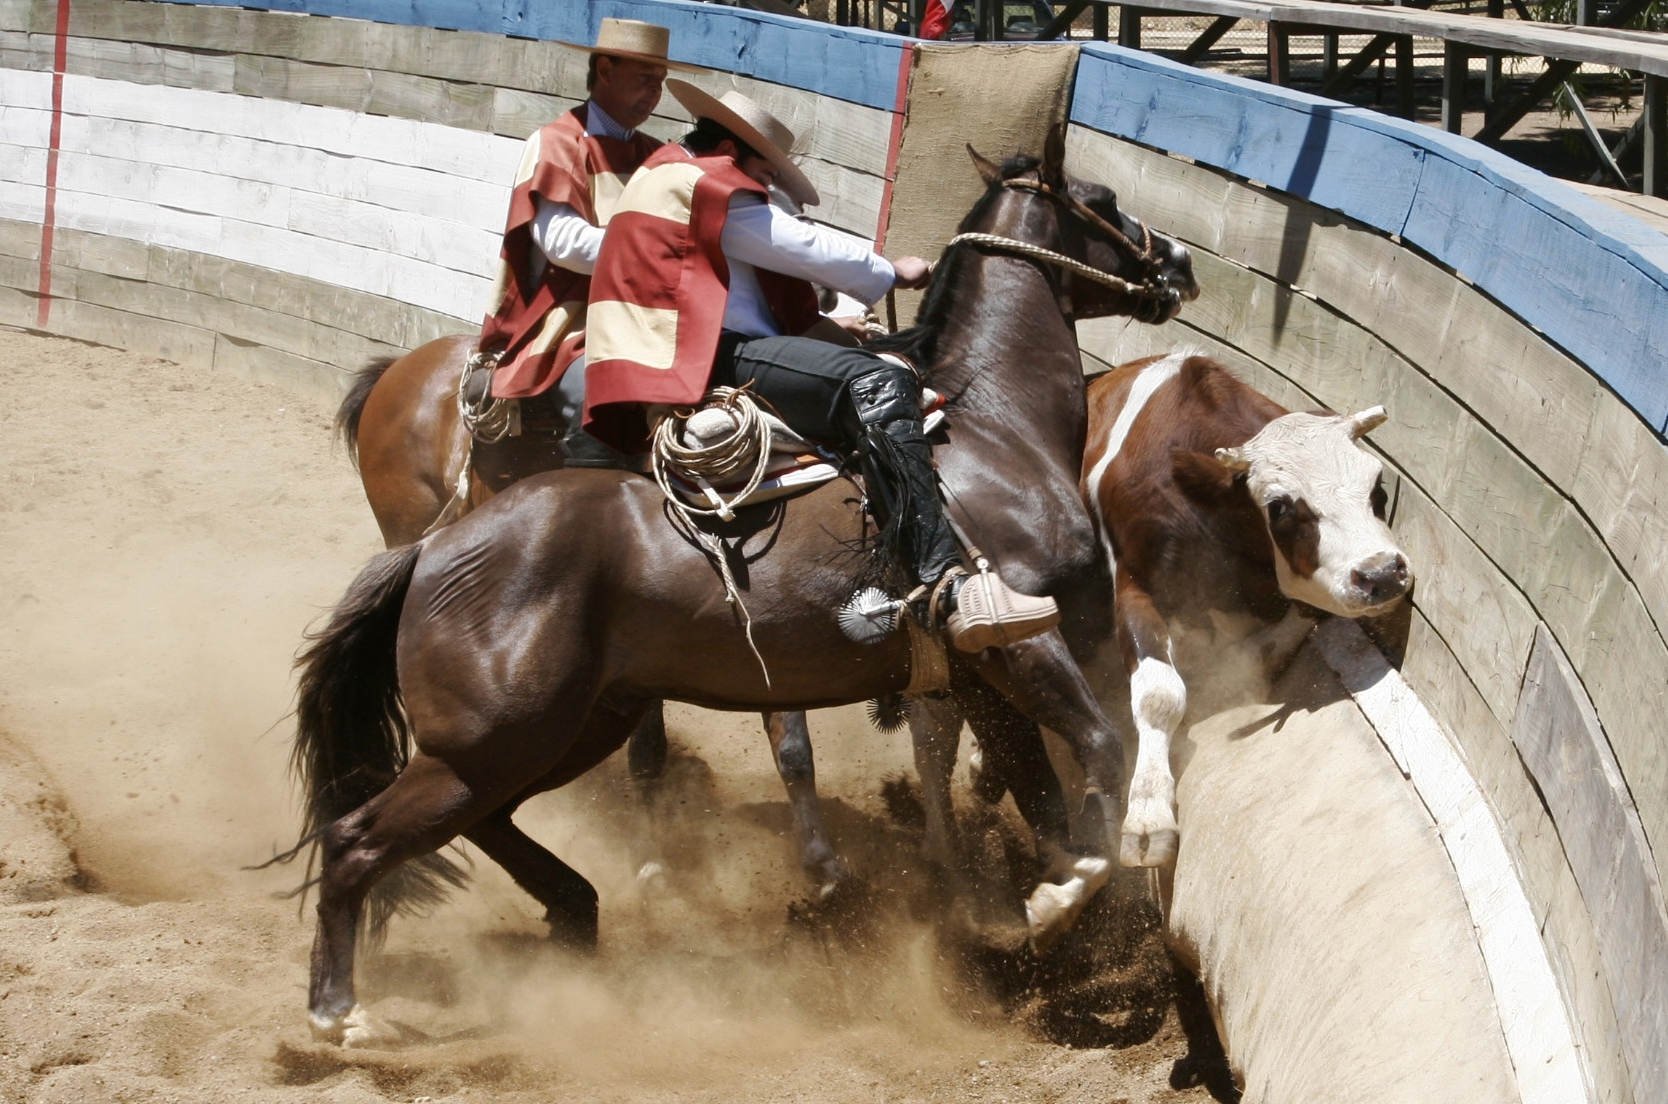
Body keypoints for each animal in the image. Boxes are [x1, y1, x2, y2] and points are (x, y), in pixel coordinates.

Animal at [290, 131, 1200, 1047]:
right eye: (1105, 200)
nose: (1180, 262)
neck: (995, 434)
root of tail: (436, 553)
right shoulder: (1027, 644)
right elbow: (1098, 752)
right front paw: (1055, 902)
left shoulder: (979, 676)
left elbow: (1037, 790)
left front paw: (1028, 918)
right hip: (493, 738)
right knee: (359, 838)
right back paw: (341, 1011)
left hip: (567, 727)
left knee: (491, 818)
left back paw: (577, 907)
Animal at [1074, 350, 1414, 867]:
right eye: (1280, 507)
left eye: (1377, 487)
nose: (1381, 573)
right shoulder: (1132, 580)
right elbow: (1158, 693)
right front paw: (1149, 813)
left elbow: (1269, 643)